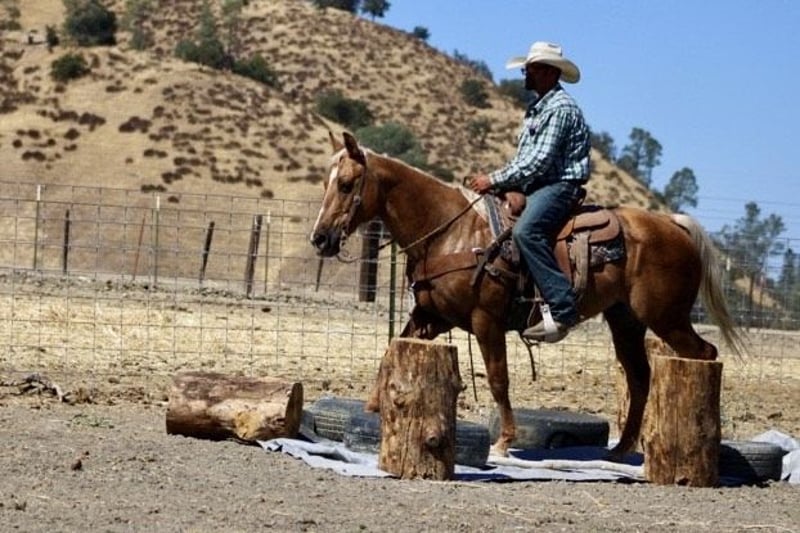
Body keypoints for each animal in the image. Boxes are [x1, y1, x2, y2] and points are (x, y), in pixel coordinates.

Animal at [310, 131, 746, 456]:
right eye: (325, 184)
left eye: (346, 184)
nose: (320, 238)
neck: (450, 233)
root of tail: (673, 224)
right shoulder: (430, 318)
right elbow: (389, 357)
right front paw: (372, 410)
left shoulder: (486, 321)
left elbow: (498, 379)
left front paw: (504, 441)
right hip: (627, 322)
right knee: (640, 376)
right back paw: (621, 449)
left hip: (668, 317)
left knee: (704, 354)